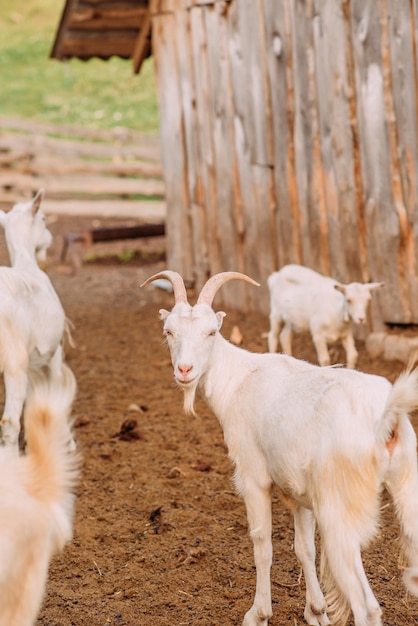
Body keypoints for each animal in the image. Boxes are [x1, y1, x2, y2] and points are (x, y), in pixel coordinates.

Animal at [141, 268, 418, 624]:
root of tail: (385, 416)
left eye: (212, 331)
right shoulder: (298, 491)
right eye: (169, 331)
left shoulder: (253, 477)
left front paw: (258, 613)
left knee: (366, 606)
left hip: (338, 508)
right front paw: (316, 611)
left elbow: (262, 544)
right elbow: (304, 548)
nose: (185, 370)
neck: (239, 379)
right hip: (404, 488)